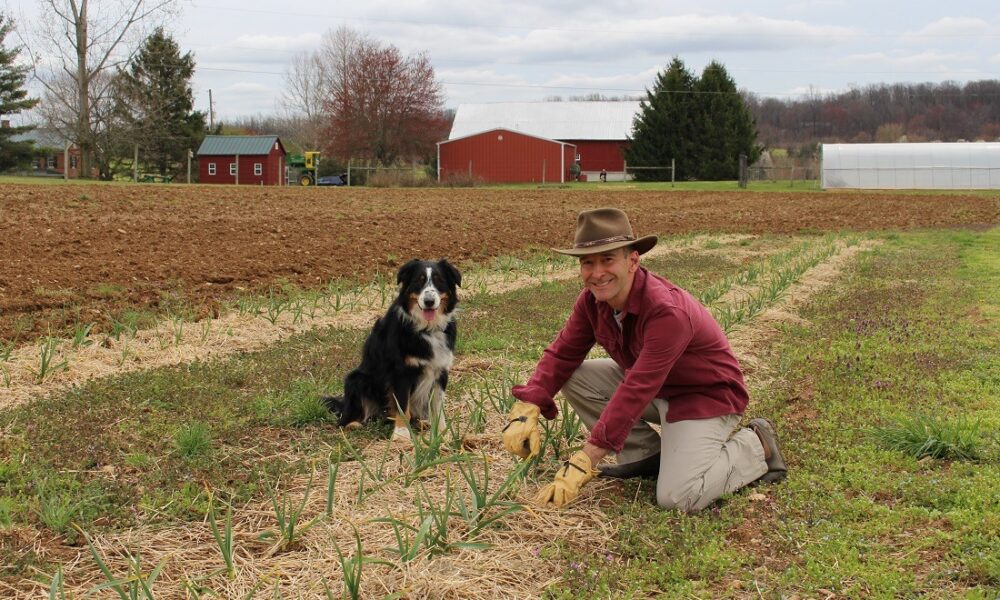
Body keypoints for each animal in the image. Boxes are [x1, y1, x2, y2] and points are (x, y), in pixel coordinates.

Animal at [320, 258, 460, 440]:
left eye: (439, 280)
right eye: (419, 281)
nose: (429, 301)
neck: (426, 329)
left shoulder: (440, 369)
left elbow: (437, 405)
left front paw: (442, 432)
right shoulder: (400, 372)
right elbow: (402, 405)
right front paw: (401, 435)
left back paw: (421, 423)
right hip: (356, 379)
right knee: (347, 418)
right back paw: (353, 424)